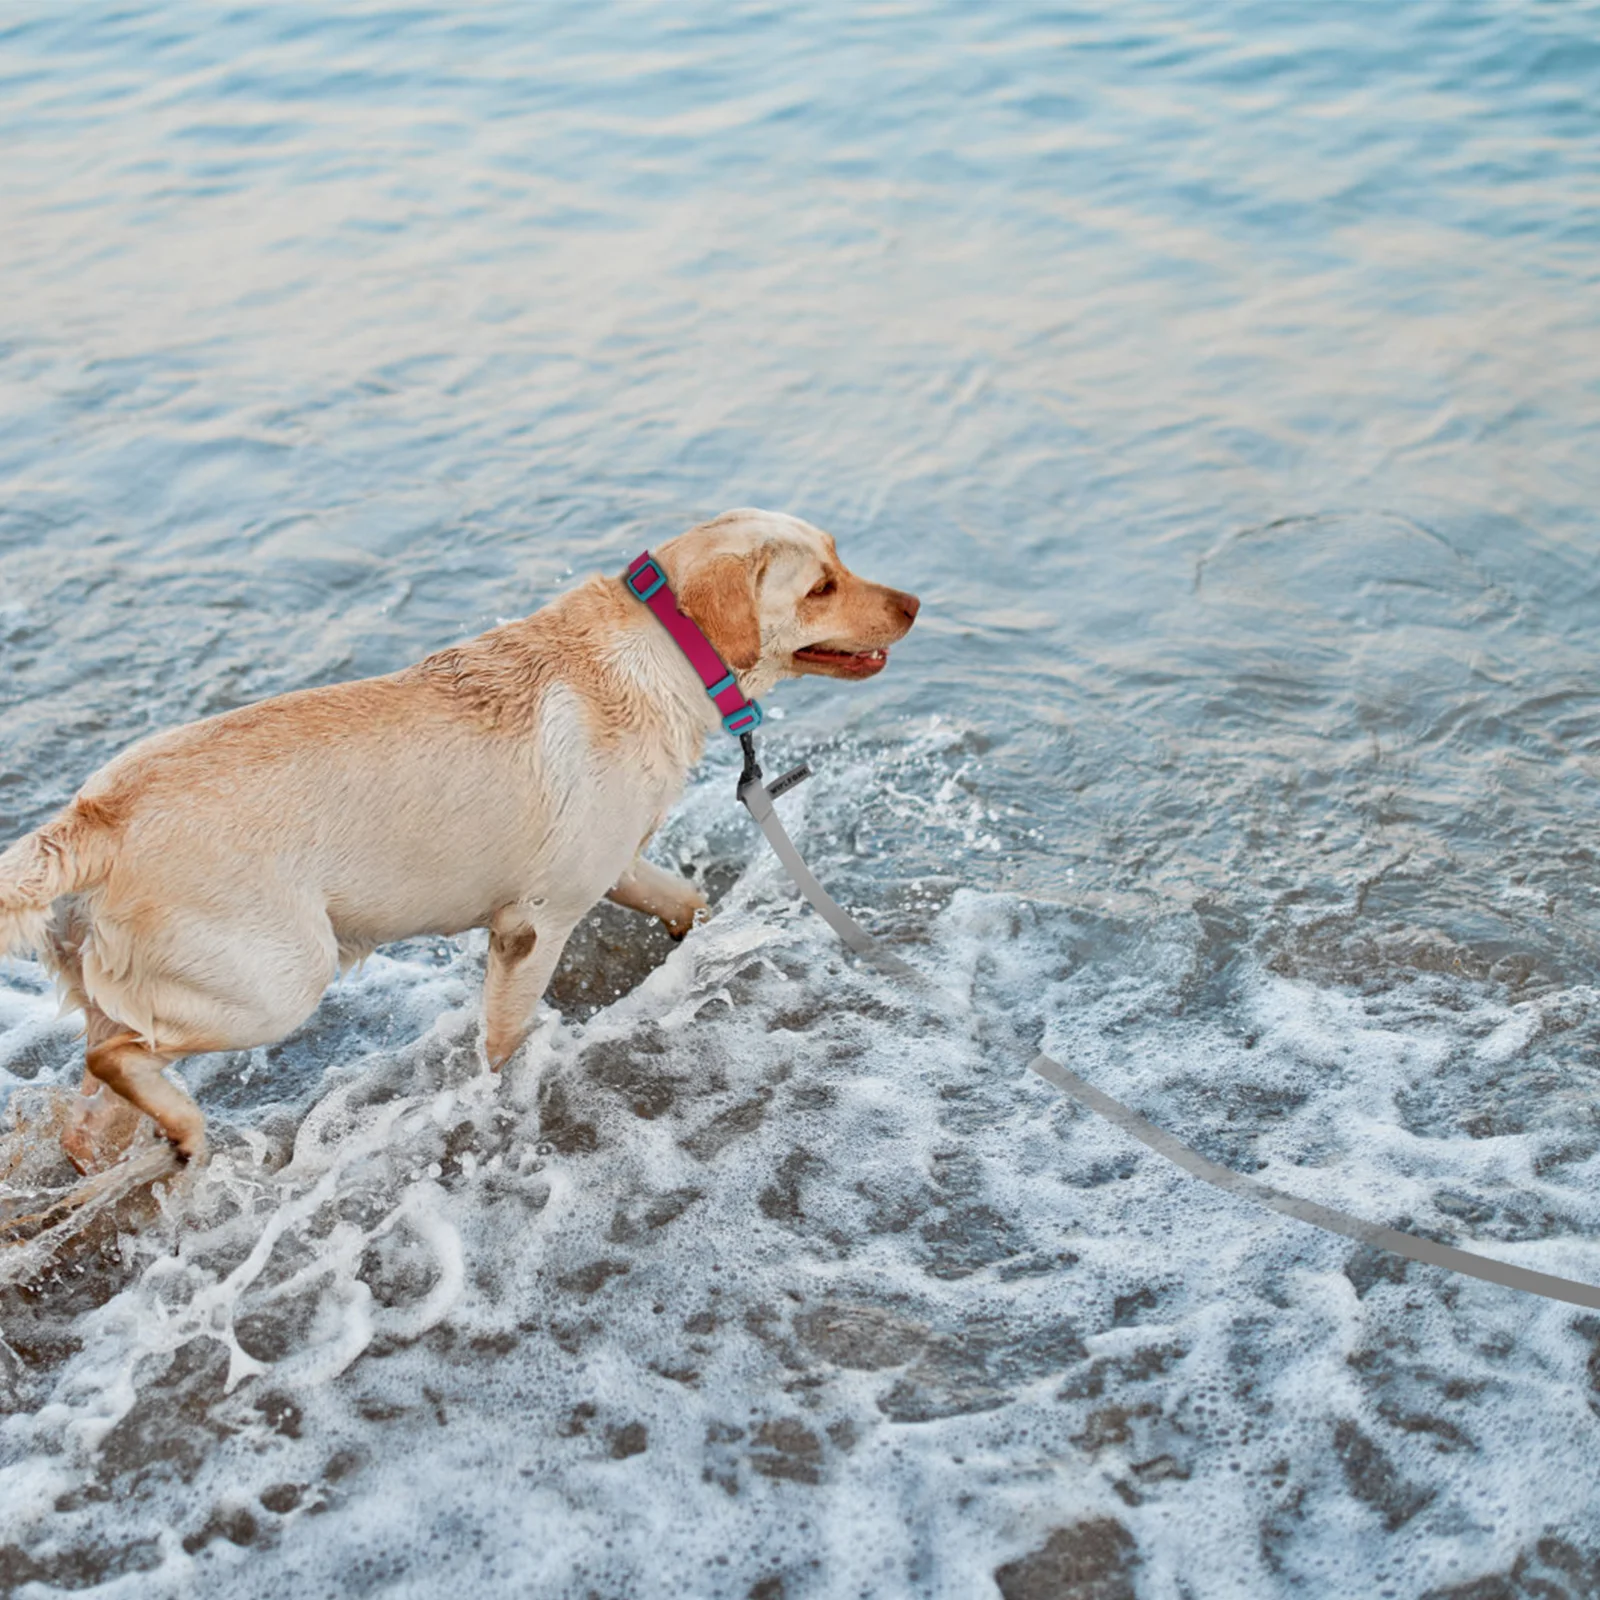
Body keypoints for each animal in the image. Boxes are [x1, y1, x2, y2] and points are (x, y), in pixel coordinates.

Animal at [0, 505, 921, 1171]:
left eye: (840, 561)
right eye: (822, 587)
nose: (914, 604)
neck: (665, 647)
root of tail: (94, 817)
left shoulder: (608, 863)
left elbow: (683, 895)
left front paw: (694, 938)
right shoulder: (533, 927)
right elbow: (504, 1041)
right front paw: (495, 1098)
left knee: (95, 1074)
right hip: (281, 979)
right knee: (118, 1054)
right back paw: (187, 1129)